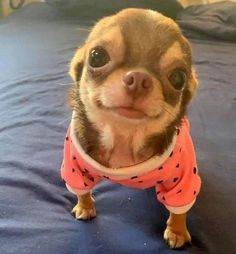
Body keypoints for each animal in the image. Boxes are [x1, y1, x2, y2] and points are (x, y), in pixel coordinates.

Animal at [60, 8, 201, 249]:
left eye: (178, 78)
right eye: (97, 56)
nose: (139, 78)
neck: (123, 139)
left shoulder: (183, 180)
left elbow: (179, 210)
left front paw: (177, 231)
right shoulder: (74, 166)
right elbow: (81, 190)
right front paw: (85, 206)